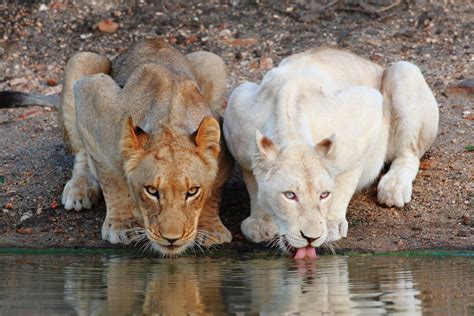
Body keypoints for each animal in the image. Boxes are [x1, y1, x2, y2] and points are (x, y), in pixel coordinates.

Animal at [224, 48, 438, 258]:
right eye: (290, 195)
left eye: (324, 195)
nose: (311, 237)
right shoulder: (237, 109)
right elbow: (253, 182)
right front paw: (260, 222)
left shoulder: (367, 111)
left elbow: (345, 182)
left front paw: (331, 224)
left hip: (403, 72)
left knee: (409, 154)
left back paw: (393, 188)